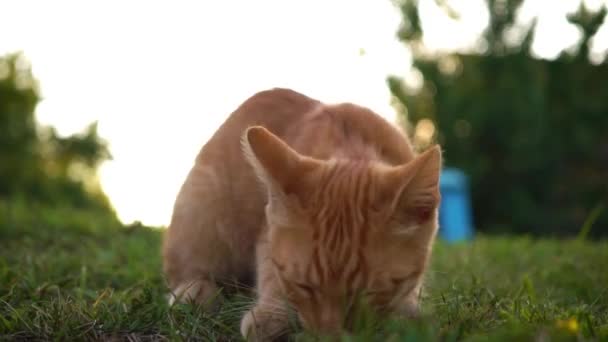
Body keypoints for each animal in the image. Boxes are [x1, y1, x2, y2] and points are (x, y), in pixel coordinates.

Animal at [163, 87, 442, 340]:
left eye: (367, 294)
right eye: (302, 286)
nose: (329, 336)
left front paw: (407, 313)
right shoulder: (266, 232)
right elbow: (269, 269)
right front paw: (272, 315)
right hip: (205, 213)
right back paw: (195, 291)